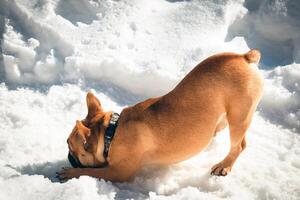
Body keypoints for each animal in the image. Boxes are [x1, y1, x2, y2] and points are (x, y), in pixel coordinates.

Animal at [57, 49, 264, 181]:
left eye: (70, 146)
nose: (68, 157)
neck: (110, 133)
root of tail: (243, 57)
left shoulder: (118, 172)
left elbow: (91, 172)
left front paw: (72, 173)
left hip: (239, 117)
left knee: (238, 145)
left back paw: (224, 165)